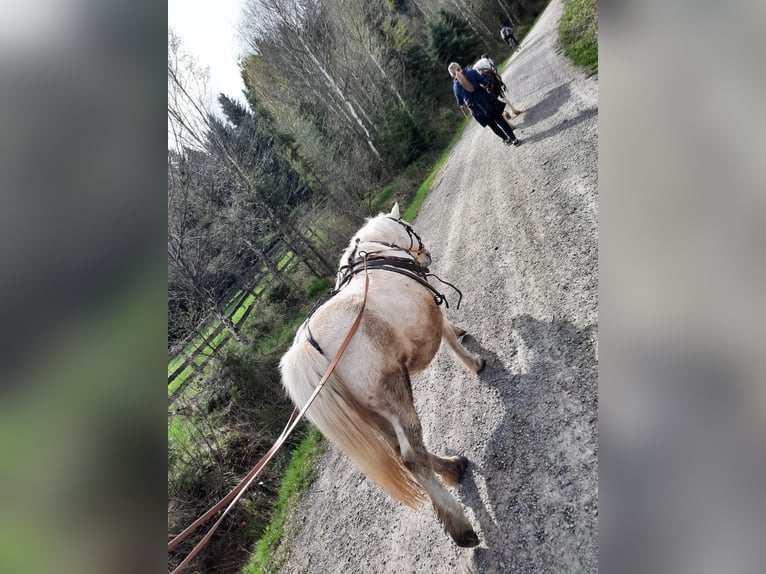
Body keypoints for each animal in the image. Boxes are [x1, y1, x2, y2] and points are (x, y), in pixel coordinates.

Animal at [282, 204, 486, 548]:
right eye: (408, 227)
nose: (426, 254)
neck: (380, 255)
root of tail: (308, 344)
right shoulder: (431, 309)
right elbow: (448, 335)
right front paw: (472, 361)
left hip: (372, 412)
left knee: (400, 451)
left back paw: (451, 468)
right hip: (393, 394)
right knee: (412, 456)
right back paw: (459, 525)